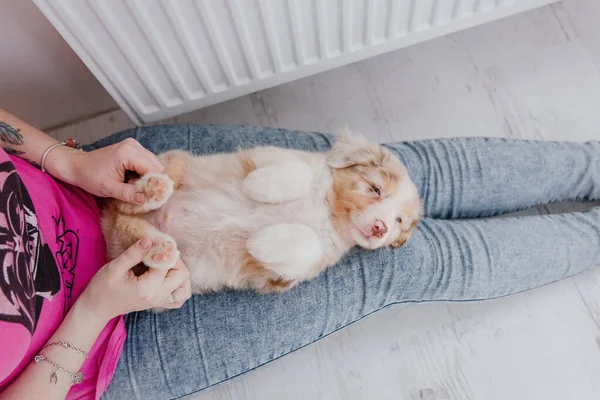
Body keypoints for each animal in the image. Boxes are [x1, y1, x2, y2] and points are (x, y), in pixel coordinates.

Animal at [102, 136, 422, 296]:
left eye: (399, 222)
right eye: (375, 189)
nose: (380, 228)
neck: (328, 210)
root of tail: (108, 229)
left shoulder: (286, 276)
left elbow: (307, 245)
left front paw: (258, 242)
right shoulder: (270, 154)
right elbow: (298, 171)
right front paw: (256, 186)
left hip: (175, 273)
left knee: (131, 227)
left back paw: (159, 247)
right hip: (173, 163)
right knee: (125, 203)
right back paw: (153, 191)